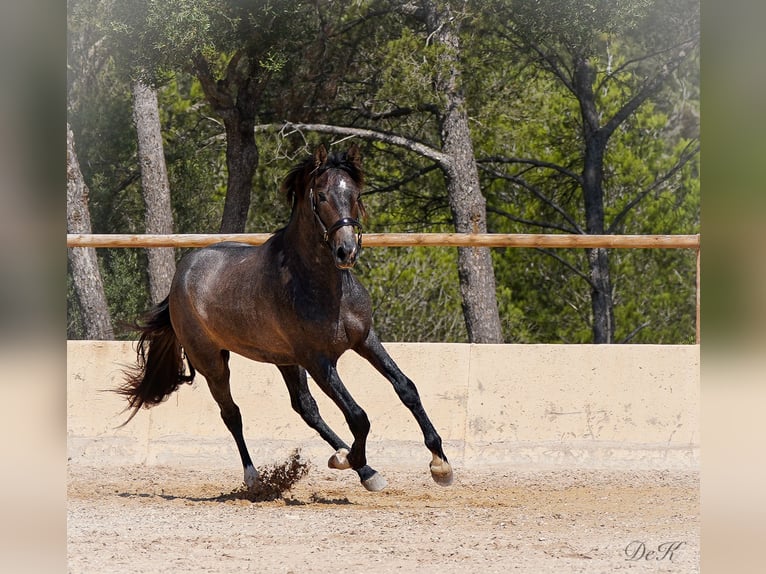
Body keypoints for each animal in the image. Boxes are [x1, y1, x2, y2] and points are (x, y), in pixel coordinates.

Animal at [118, 144, 453, 492]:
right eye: (321, 196)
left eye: (355, 193)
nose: (346, 251)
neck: (324, 288)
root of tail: (181, 275)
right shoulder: (318, 360)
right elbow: (358, 415)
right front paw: (354, 458)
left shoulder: (364, 339)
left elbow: (406, 388)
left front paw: (439, 464)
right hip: (212, 362)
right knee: (232, 413)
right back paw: (256, 477)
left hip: (284, 360)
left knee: (306, 408)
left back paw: (356, 464)